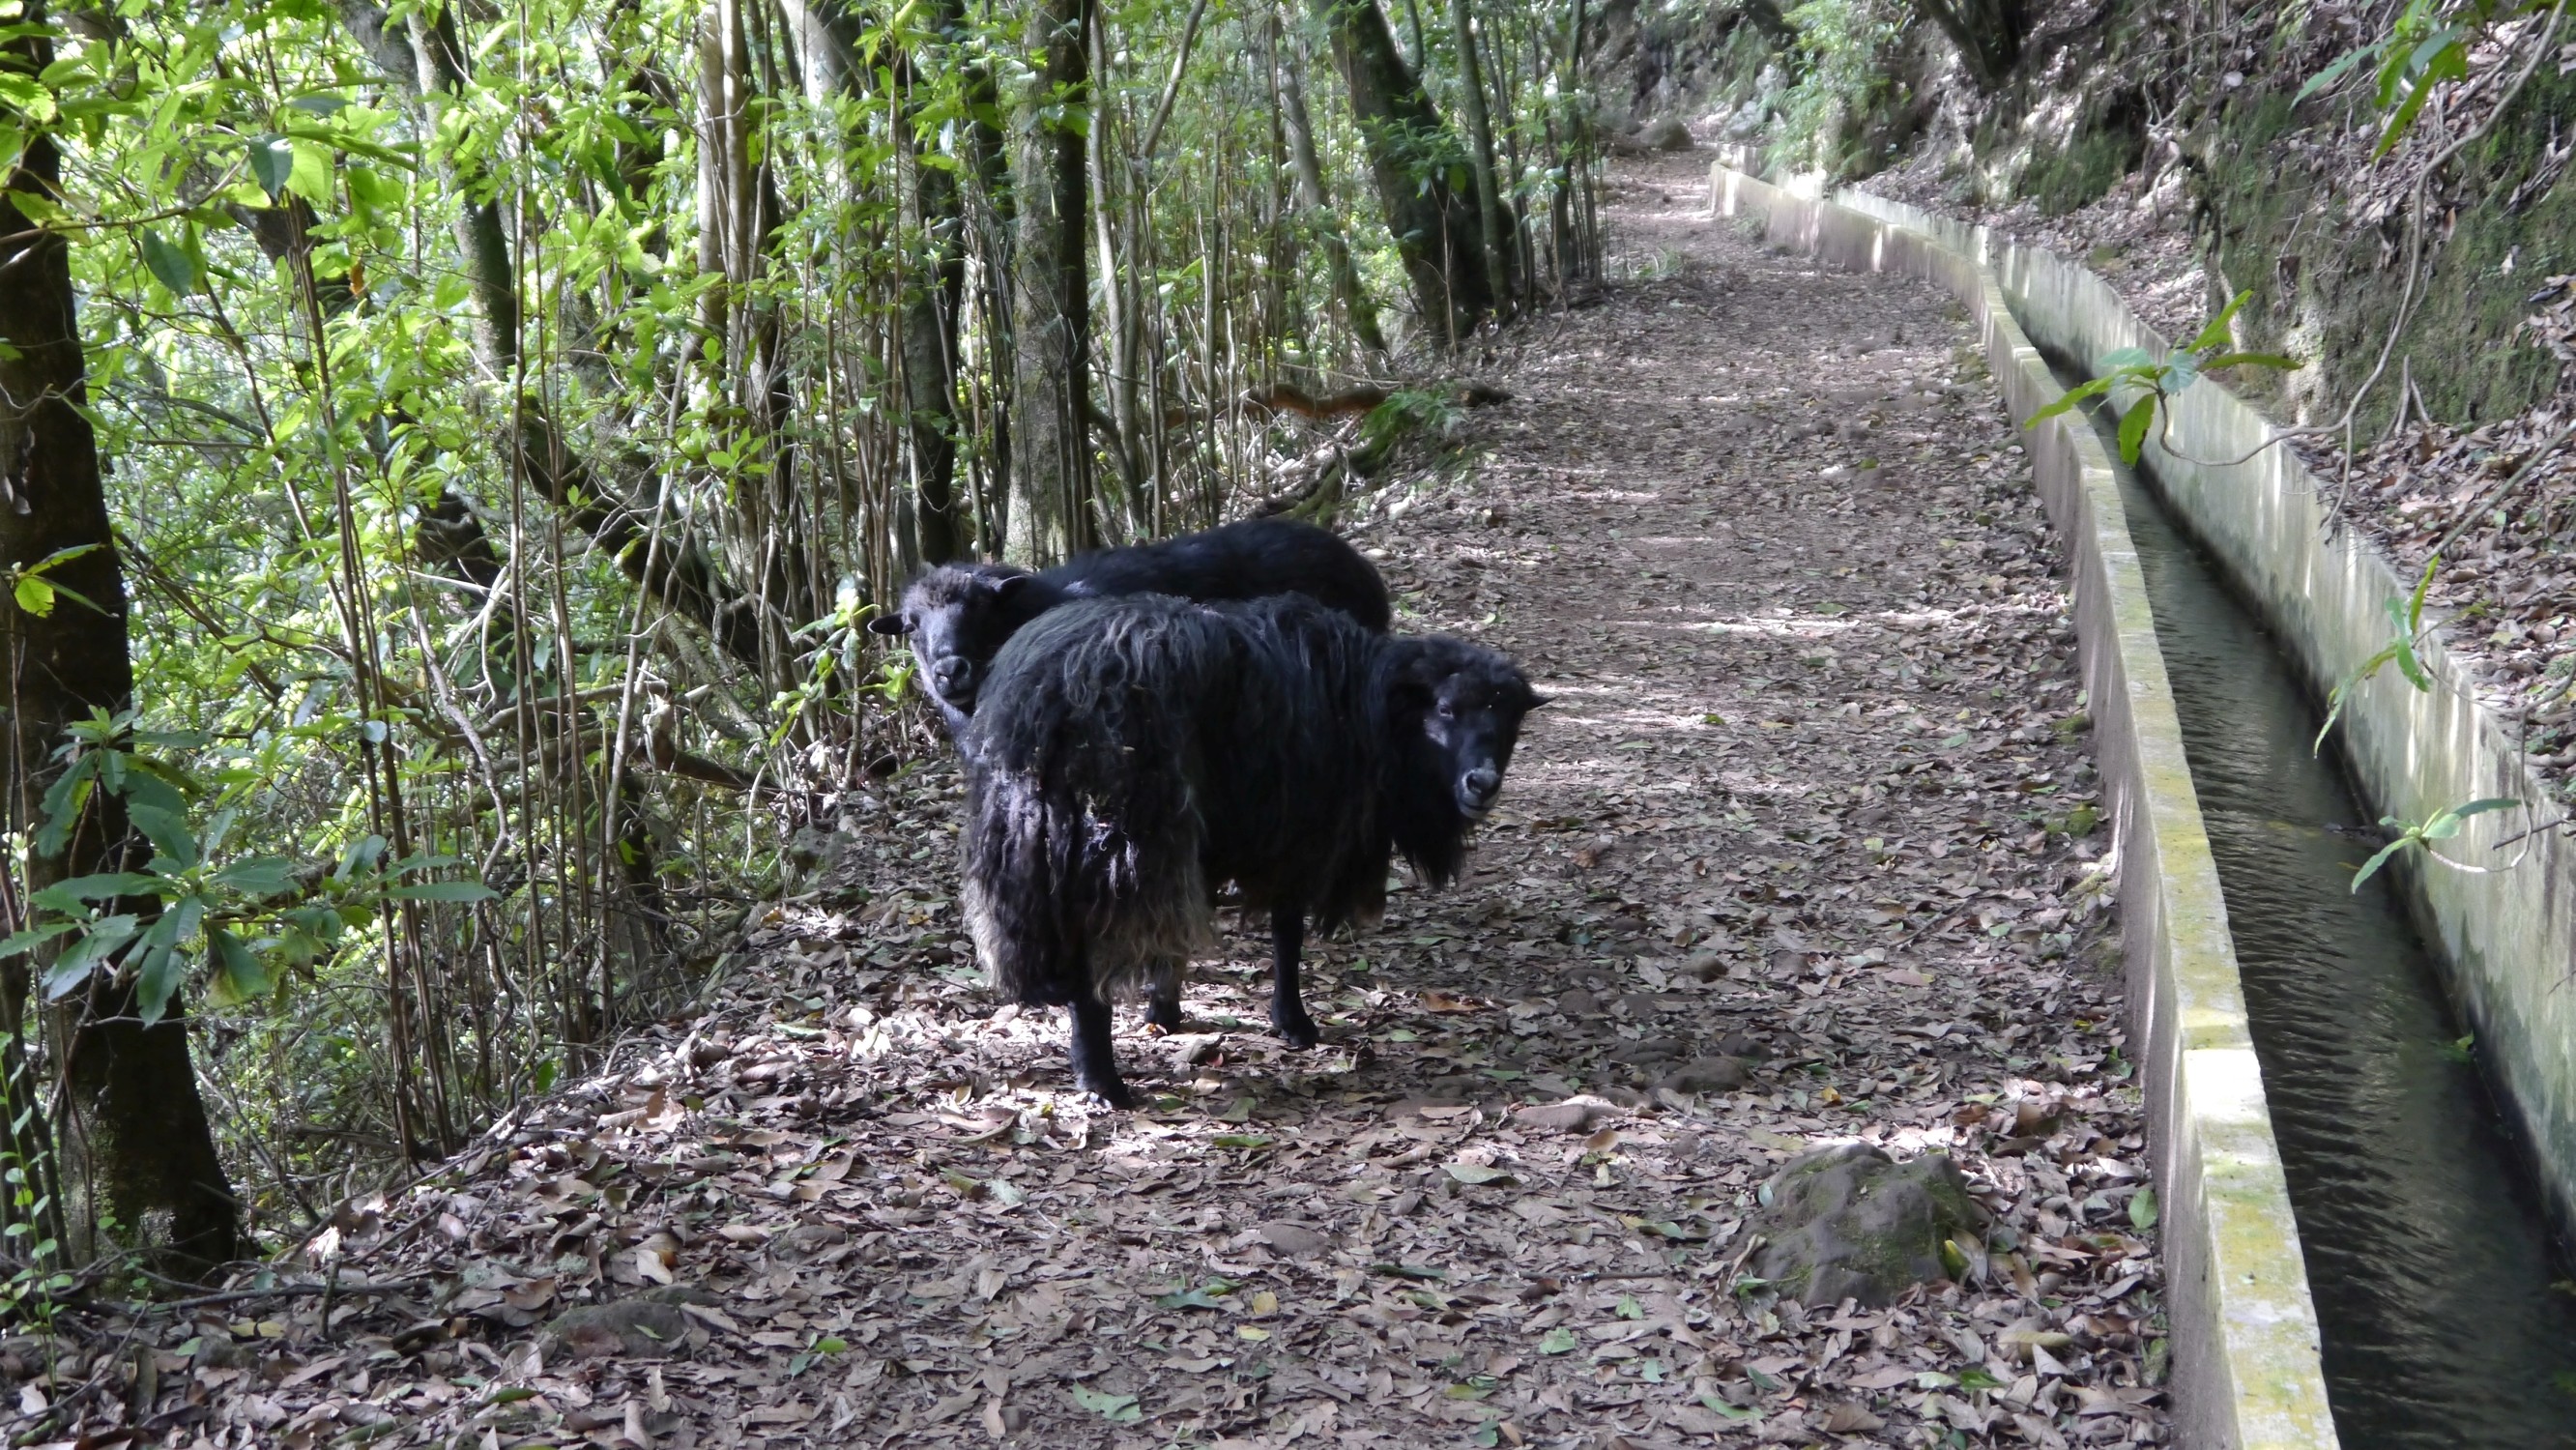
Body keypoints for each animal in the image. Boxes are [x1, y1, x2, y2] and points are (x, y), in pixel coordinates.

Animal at [959, 592, 1540, 1106]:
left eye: (1511, 720)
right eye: (1445, 708)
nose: (1482, 783)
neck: (1367, 706)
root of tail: (1042, 701)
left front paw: (1163, 1012)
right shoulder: (1295, 838)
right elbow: (1287, 932)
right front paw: (1293, 1023)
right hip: (1120, 840)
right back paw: (1102, 1082)